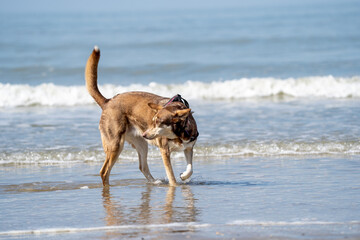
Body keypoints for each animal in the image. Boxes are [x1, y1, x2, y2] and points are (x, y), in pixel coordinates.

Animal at [86, 46, 200, 187]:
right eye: (153, 121)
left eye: (158, 123)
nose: (145, 134)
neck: (179, 133)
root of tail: (107, 102)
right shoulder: (165, 151)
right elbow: (171, 175)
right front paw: (174, 185)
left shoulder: (189, 147)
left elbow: (190, 168)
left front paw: (184, 176)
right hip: (115, 144)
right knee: (104, 171)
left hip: (141, 144)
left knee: (142, 166)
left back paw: (155, 182)